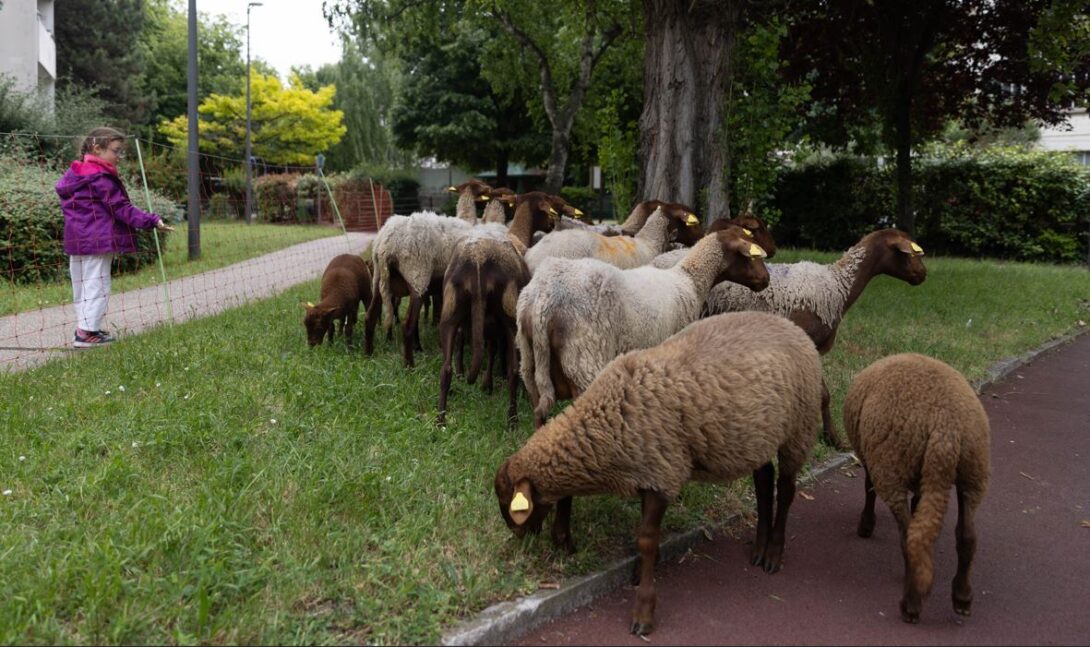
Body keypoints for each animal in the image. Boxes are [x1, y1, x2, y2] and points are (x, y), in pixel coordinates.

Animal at [495, 311, 823, 636]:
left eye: (511, 504)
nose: (520, 538)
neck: (607, 418)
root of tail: (791, 326)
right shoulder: (648, 472)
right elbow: (644, 533)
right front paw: (640, 572)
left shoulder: (663, 475)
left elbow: (647, 540)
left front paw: (643, 612)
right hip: (757, 436)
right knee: (764, 479)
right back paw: (758, 548)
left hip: (799, 426)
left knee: (786, 488)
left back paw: (773, 554)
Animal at [517, 227, 770, 429]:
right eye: (751, 256)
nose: (766, 279)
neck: (689, 281)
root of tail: (543, 298)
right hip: (584, 358)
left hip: (530, 364)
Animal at [703, 228, 928, 448]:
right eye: (910, 252)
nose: (923, 274)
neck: (840, 286)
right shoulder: (809, 342)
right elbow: (823, 395)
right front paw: (833, 439)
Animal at [843, 353, 991, 624]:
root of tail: (945, 428)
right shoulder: (926, 479)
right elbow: (920, 506)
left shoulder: (871, 459)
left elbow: (868, 488)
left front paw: (865, 526)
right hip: (973, 470)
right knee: (967, 536)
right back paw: (962, 598)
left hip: (891, 465)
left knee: (909, 536)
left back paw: (910, 605)